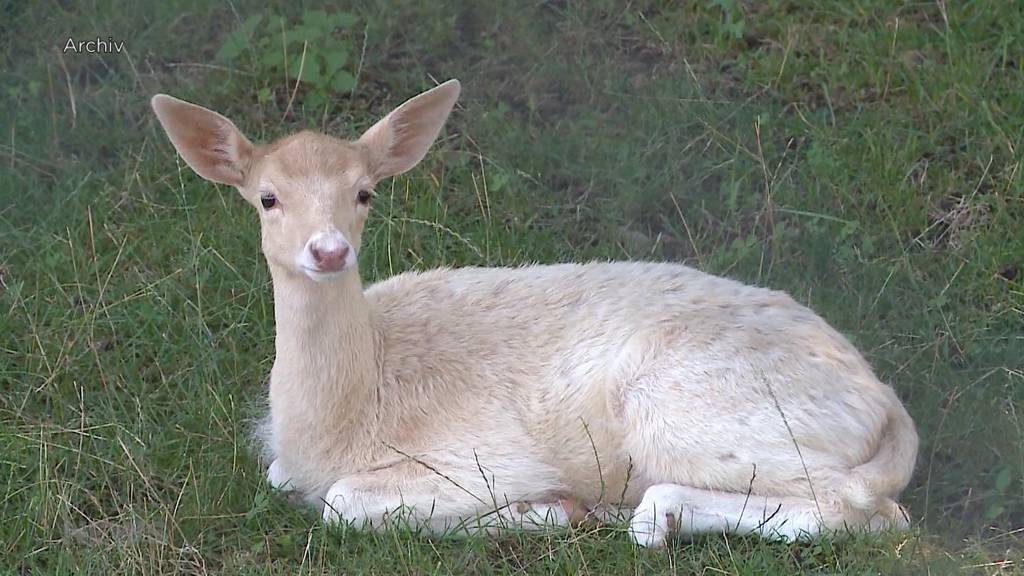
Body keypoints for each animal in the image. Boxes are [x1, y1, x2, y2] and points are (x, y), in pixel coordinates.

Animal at [148, 78, 917, 545]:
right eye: (267, 197)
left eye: (365, 192)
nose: (329, 250)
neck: (344, 415)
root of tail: (884, 405)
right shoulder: (289, 461)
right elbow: (280, 478)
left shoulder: (478, 456)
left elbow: (344, 505)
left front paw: (545, 508)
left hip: (699, 412)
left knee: (868, 510)